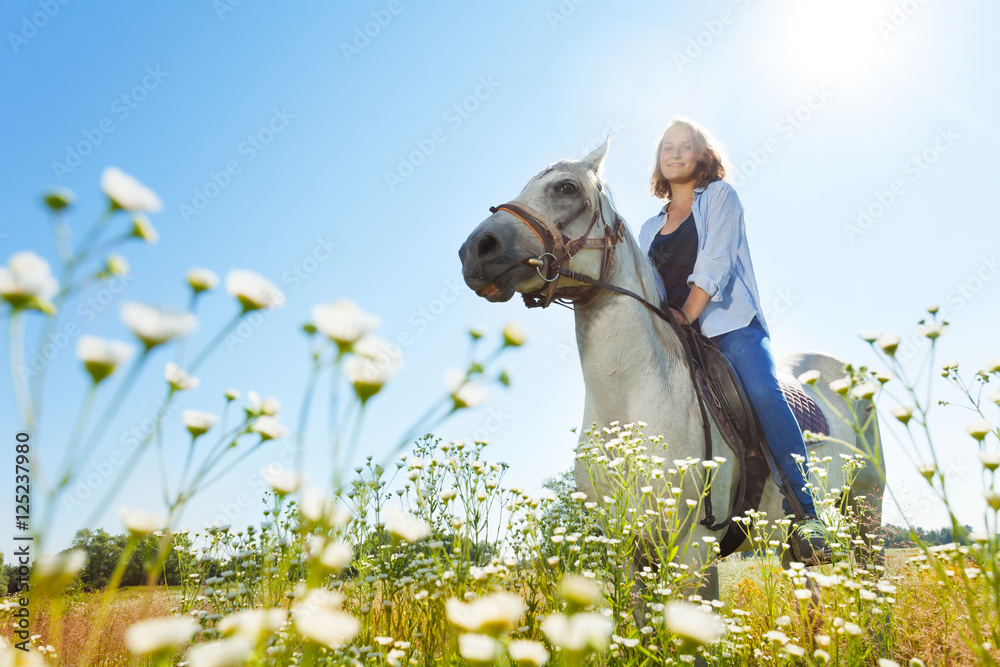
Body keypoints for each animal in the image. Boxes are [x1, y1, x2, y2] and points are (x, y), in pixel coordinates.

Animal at [456, 137, 884, 596]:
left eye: (566, 187)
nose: (475, 251)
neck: (630, 398)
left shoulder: (693, 551)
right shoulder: (628, 554)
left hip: (868, 513)